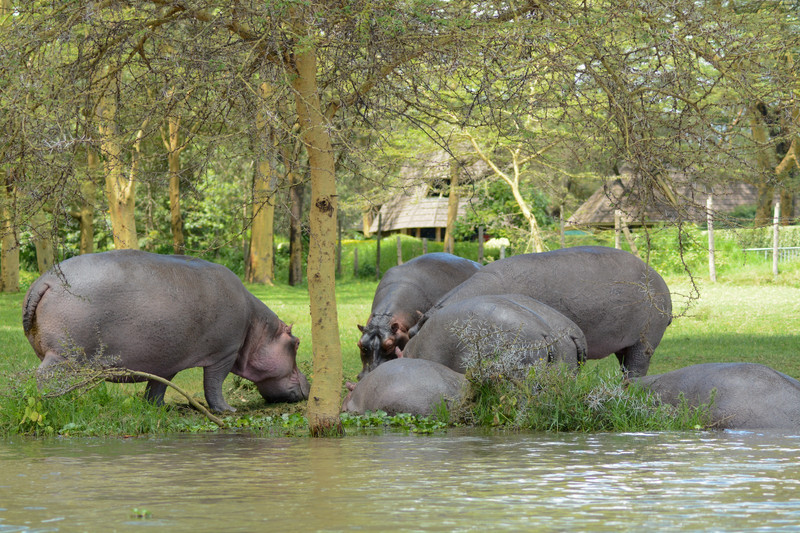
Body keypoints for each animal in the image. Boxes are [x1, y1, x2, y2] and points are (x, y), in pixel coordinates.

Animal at [21, 249, 310, 412]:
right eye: (296, 343)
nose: (310, 385)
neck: (258, 328)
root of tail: (45, 280)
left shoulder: (167, 359)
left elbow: (158, 387)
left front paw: (159, 409)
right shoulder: (225, 353)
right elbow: (214, 384)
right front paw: (228, 411)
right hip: (63, 356)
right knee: (45, 377)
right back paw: (56, 403)